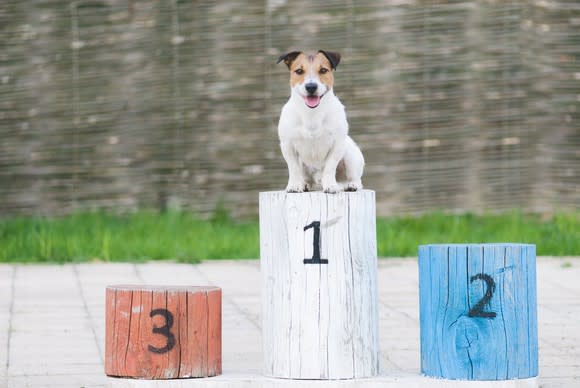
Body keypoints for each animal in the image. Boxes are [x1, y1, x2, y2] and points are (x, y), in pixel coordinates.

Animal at [276, 49, 362, 192]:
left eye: (323, 70)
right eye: (299, 71)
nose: (311, 86)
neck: (312, 114)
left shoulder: (337, 144)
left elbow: (330, 167)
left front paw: (331, 186)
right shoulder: (287, 145)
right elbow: (293, 168)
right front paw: (294, 185)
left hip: (351, 155)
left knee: (355, 178)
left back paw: (351, 184)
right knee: (306, 178)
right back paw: (305, 184)